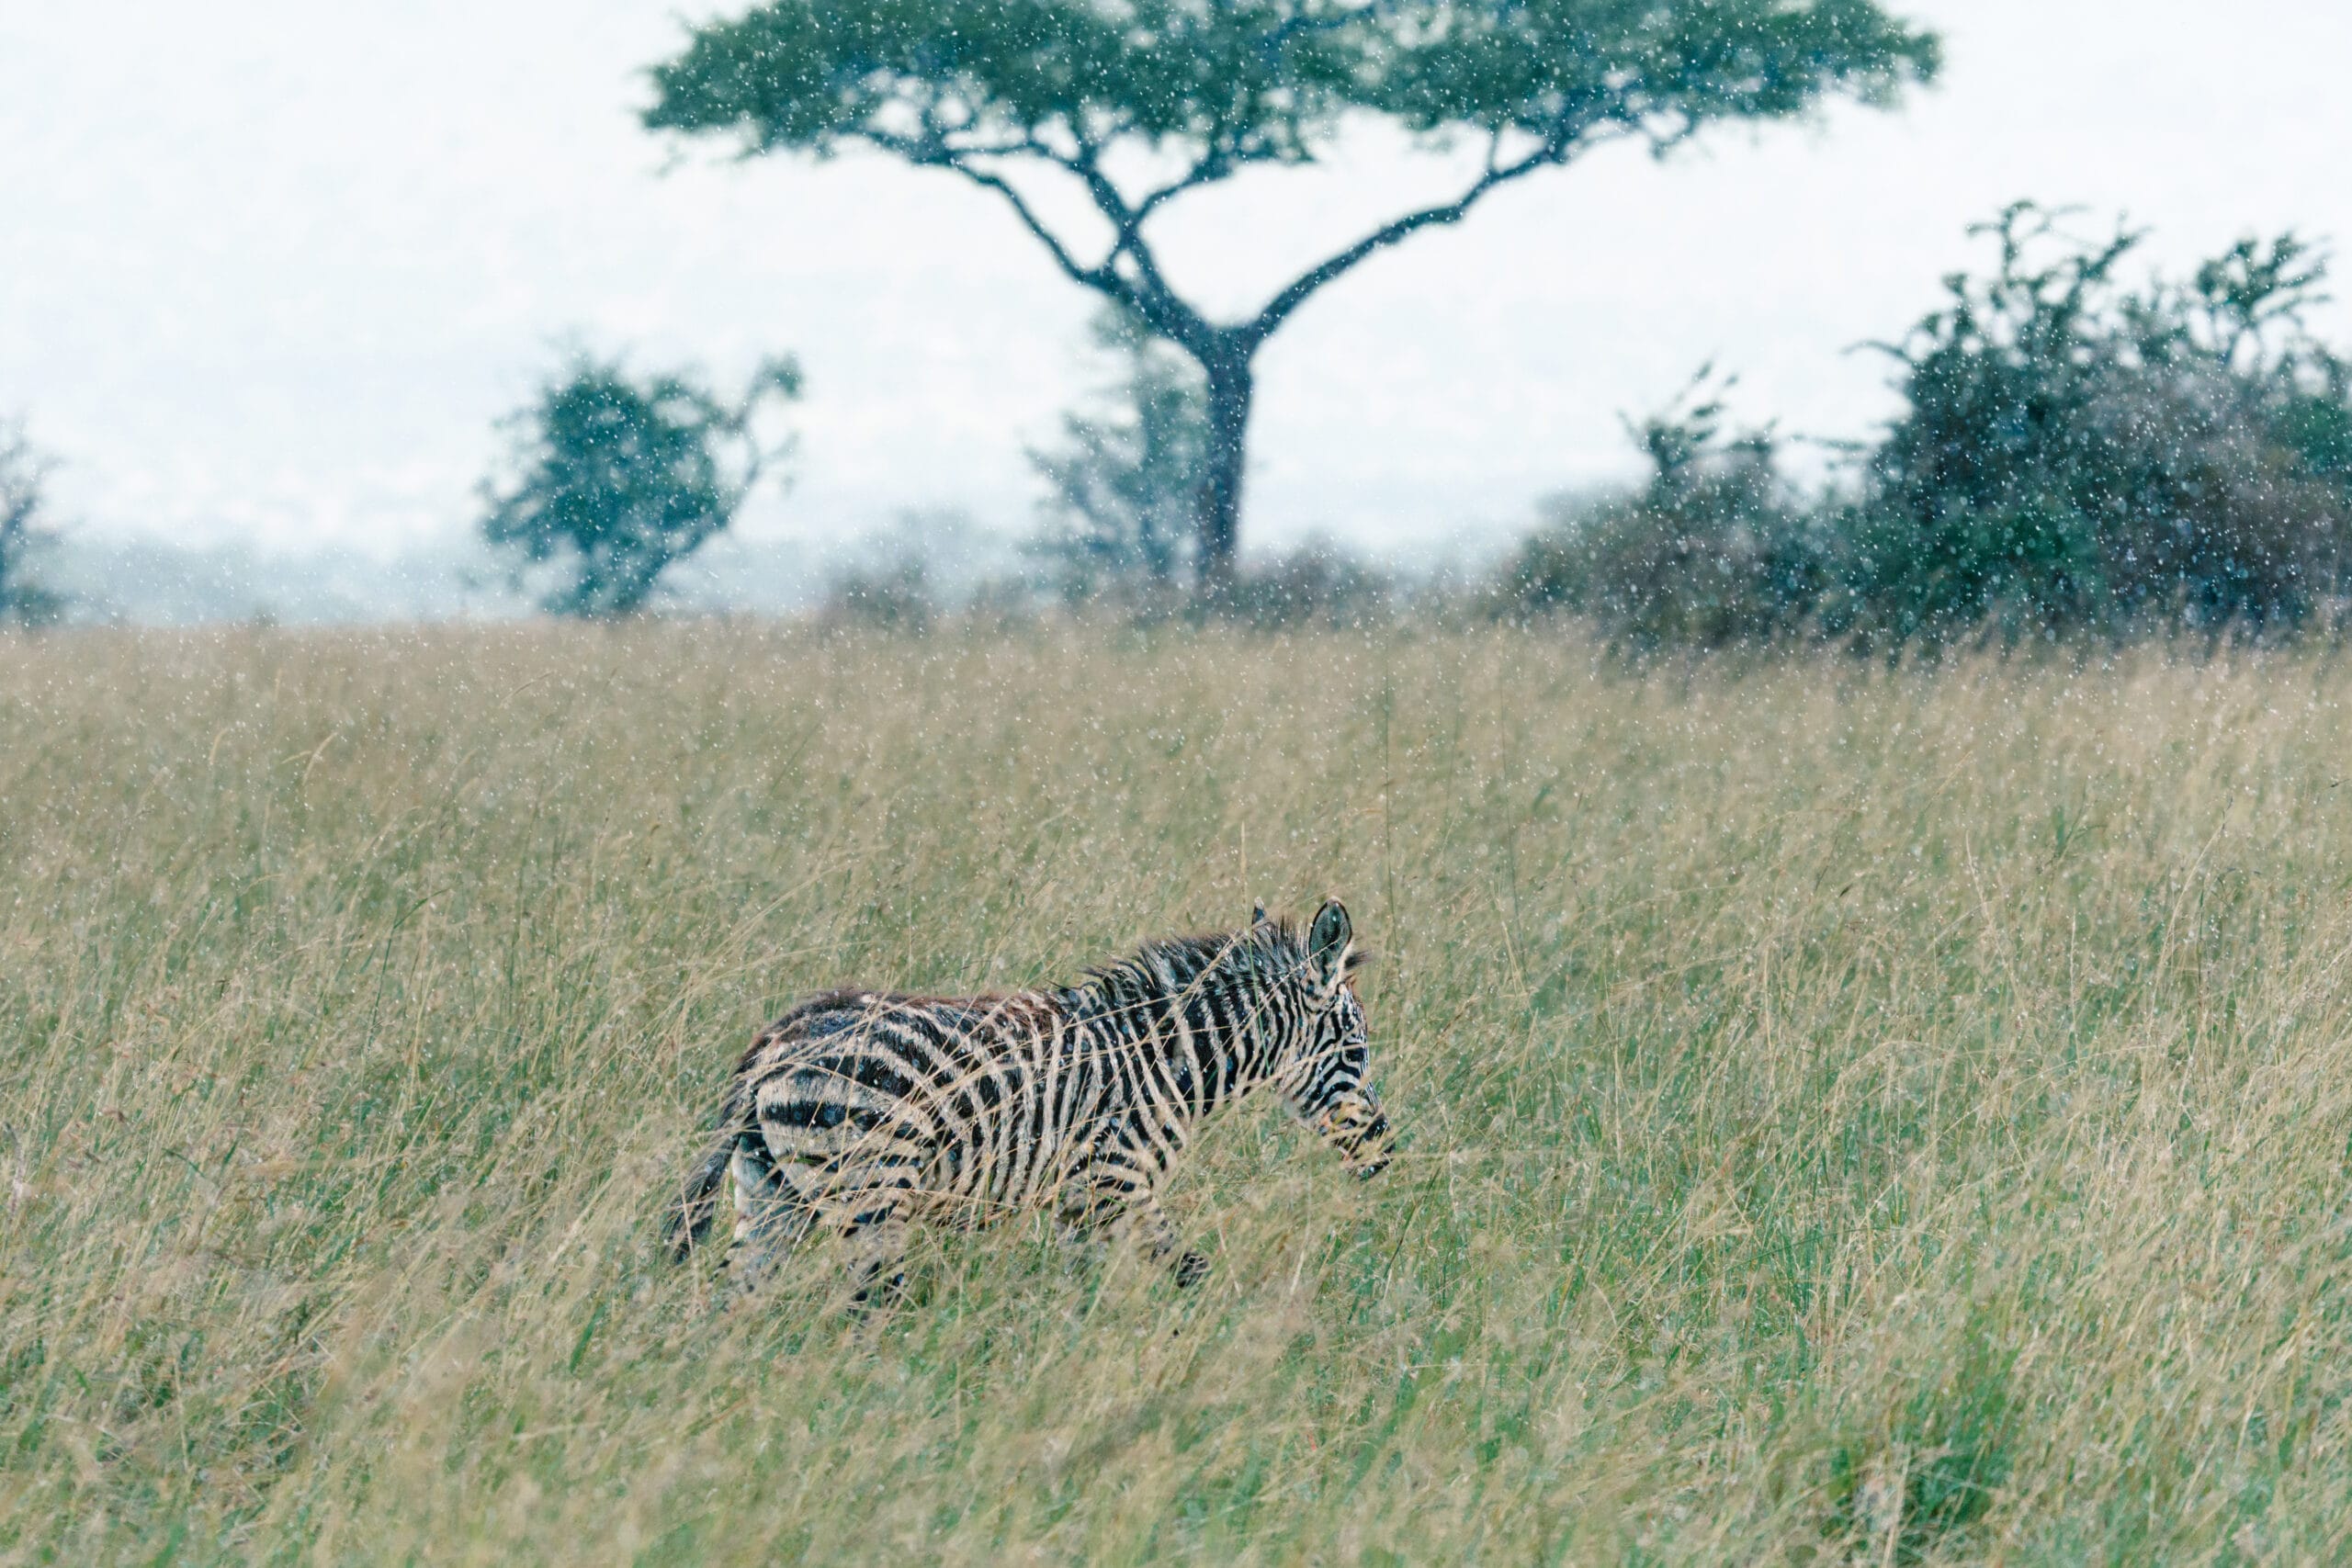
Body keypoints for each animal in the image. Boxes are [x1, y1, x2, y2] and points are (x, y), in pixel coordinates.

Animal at [664, 898, 1392, 1300]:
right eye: (1356, 1048)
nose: (1385, 1153)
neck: (1165, 1059)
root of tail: (774, 1042)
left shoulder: (1079, 1205)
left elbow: (1077, 1297)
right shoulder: (1115, 1181)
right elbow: (1193, 1270)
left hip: (772, 1192)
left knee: (727, 1301)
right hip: (866, 1190)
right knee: (868, 1307)